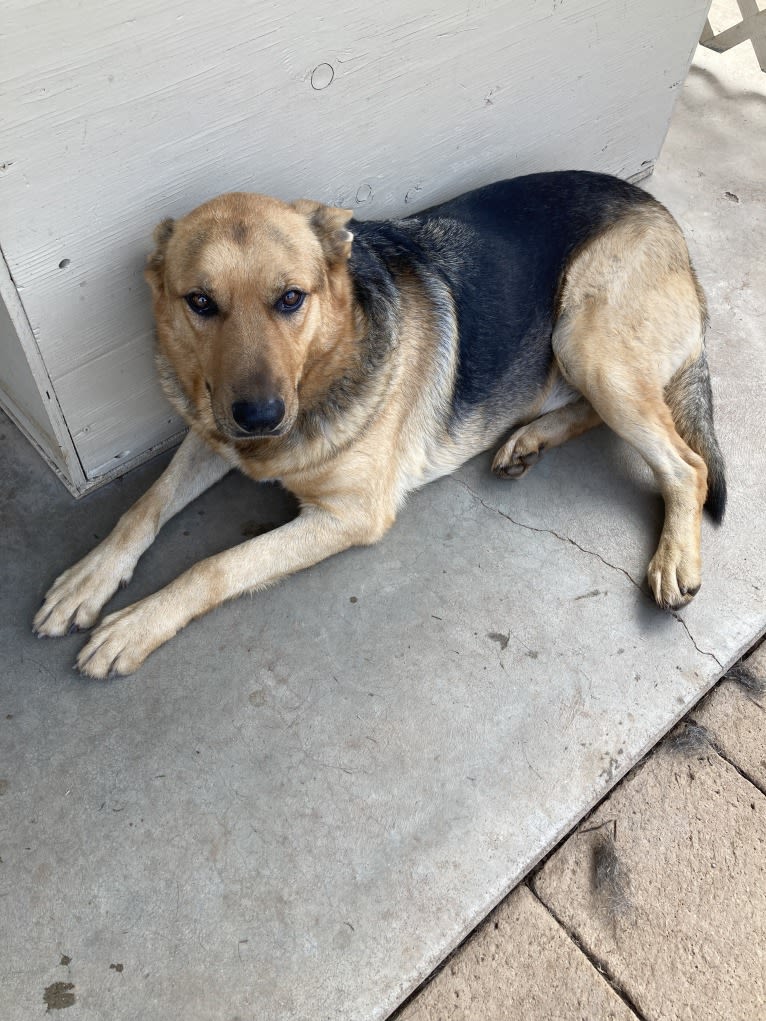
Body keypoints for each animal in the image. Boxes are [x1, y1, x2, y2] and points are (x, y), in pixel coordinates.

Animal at [32, 170, 727, 673]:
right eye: (200, 303)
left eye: (291, 298)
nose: (259, 418)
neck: (324, 367)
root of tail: (660, 212)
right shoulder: (211, 433)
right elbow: (144, 505)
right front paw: (93, 576)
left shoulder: (349, 515)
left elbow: (215, 565)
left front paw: (139, 622)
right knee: (595, 415)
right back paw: (529, 438)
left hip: (586, 339)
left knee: (687, 464)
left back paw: (675, 556)